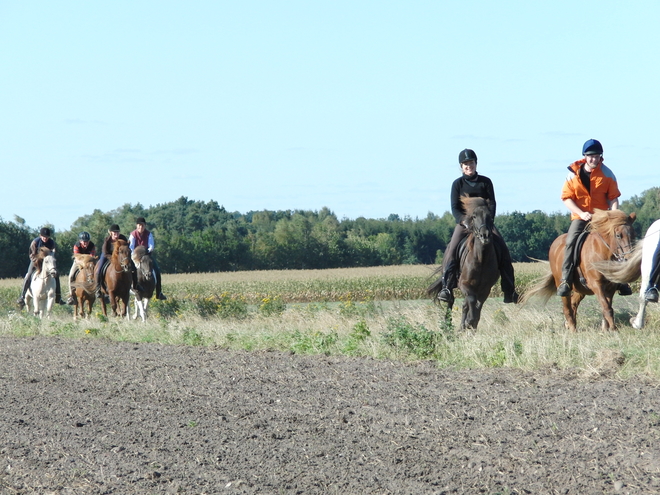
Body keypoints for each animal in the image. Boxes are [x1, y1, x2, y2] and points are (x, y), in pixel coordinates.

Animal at [428, 197, 500, 330]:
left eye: (490, 216)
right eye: (474, 216)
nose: (485, 235)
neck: (481, 259)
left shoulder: (485, 289)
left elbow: (477, 307)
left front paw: (471, 325)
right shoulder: (465, 284)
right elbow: (471, 301)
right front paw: (468, 322)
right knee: (451, 301)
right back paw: (448, 326)